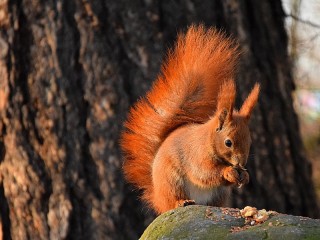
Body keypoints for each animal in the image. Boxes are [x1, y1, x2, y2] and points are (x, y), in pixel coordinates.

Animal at [120, 25, 260, 215]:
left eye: (250, 141)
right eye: (228, 142)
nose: (241, 163)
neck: (208, 140)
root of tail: (157, 197)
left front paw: (245, 175)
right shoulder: (196, 155)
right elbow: (204, 173)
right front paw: (228, 172)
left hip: (219, 194)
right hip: (172, 181)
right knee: (173, 200)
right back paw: (182, 202)